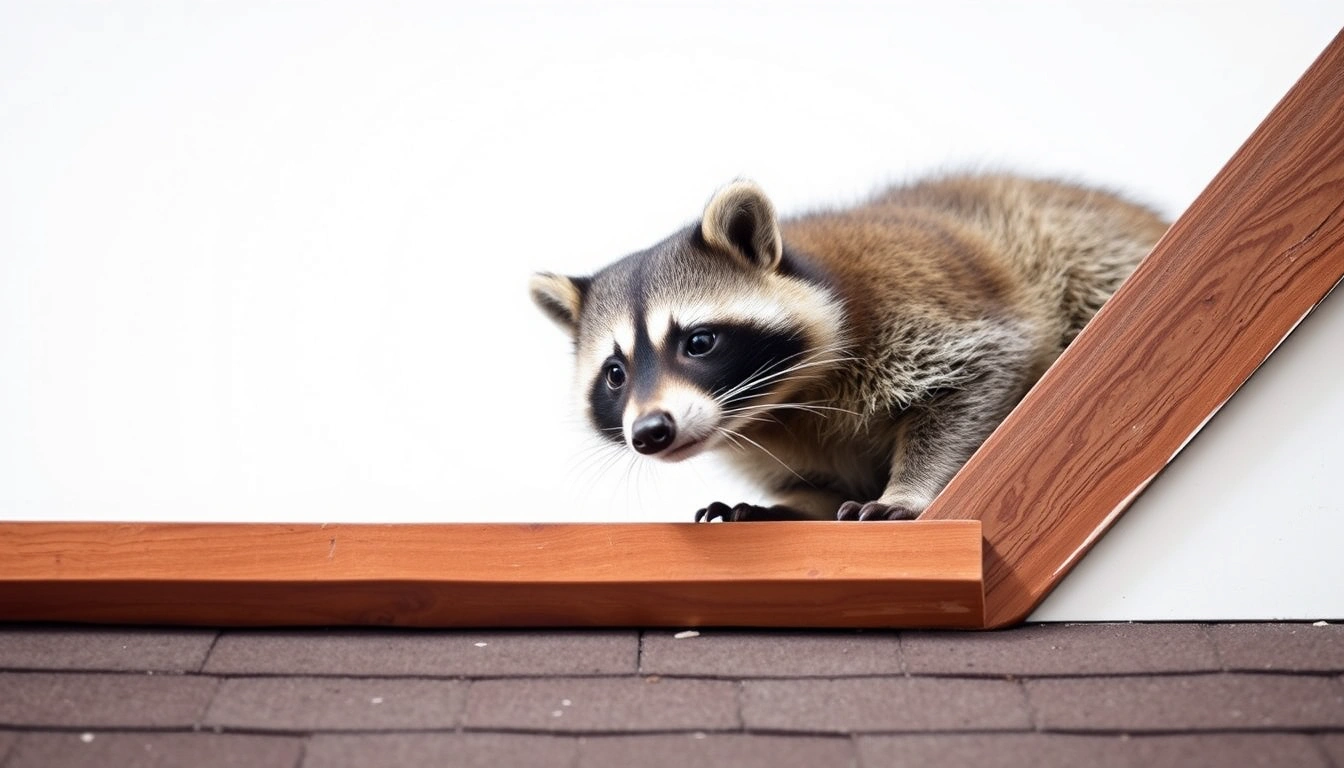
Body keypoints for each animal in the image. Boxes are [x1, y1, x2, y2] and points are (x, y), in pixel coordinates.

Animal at [530, 174, 1167, 521]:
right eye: (615, 373)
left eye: (699, 342)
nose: (650, 432)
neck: (778, 407)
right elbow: (811, 482)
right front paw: (787, 506)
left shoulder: (922, 312)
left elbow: (977, 378)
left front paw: (911, 489)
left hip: (1082, 246)